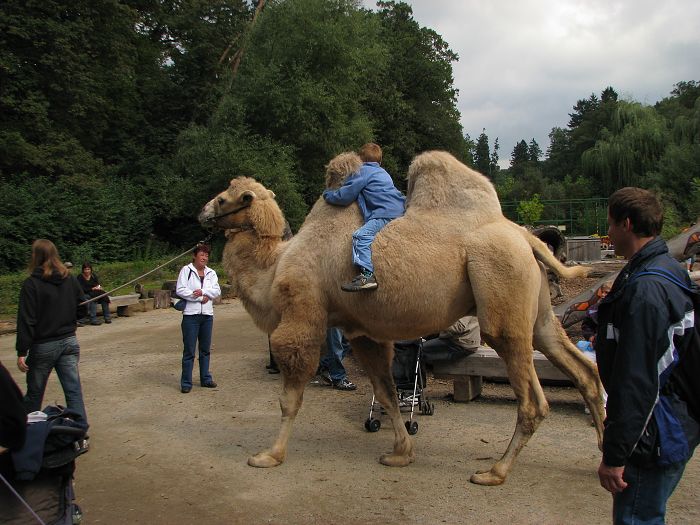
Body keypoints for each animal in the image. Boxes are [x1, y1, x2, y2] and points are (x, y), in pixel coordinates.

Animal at [199, 150, 606, 486]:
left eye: (223, 198)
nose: (201, 213)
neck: (274, 266)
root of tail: (526, 236)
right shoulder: (361, 331)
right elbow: (387, 391)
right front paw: (401, 453)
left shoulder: (302, 315)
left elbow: (290, 398)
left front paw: (270, 455)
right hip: (538, 313)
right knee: (584, 371)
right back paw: (602, 461)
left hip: (501, 291)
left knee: (533, 399)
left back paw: (495, 471)